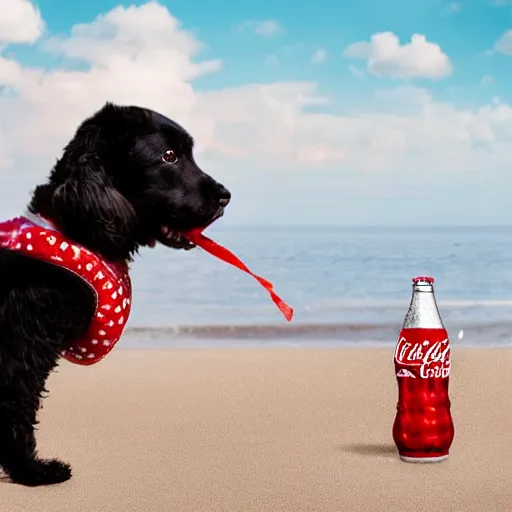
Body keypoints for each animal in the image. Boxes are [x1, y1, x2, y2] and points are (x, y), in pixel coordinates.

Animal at [0, 102, 230, 486]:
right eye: (169, 156)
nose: (226, 196)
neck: (75, 228)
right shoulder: (22, 347)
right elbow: (17, 408)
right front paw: (31, 471)